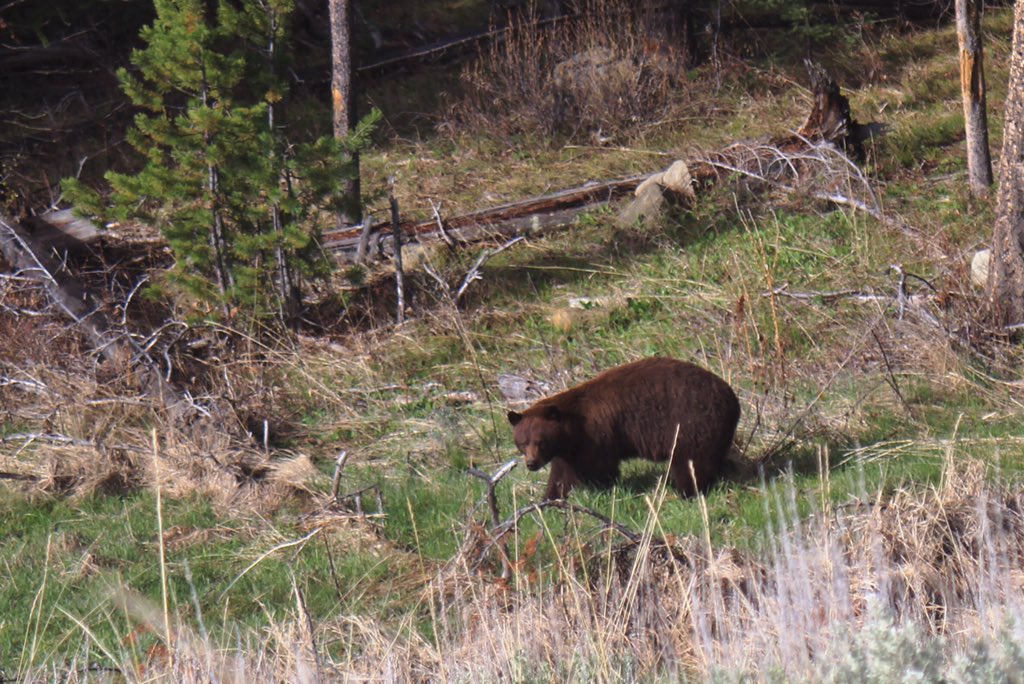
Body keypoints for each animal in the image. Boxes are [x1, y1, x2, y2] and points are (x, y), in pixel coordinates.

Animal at [507, 360, 741, 499]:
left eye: (541, 442)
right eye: (522, 443)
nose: (531, 463)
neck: (572, 430)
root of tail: (732, 398)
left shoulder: (596, 436)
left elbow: (600, 467)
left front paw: (602, 489)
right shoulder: (570, 450)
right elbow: (561, 474)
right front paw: (550, 498)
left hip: (691, 424)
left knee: (689, 463)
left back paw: (687, 492)